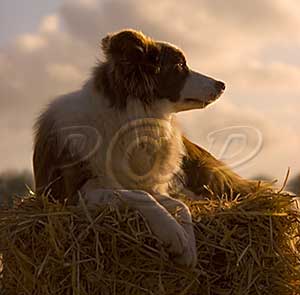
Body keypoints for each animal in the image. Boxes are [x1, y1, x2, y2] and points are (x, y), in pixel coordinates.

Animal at [32, 29, 258, 268]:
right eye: (179, 66)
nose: (221, 84)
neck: (126, 121)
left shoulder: (151, 184)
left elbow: (180, 205)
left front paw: (188, 246)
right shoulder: (73, 193)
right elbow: (141, 196)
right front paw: (174, 235)